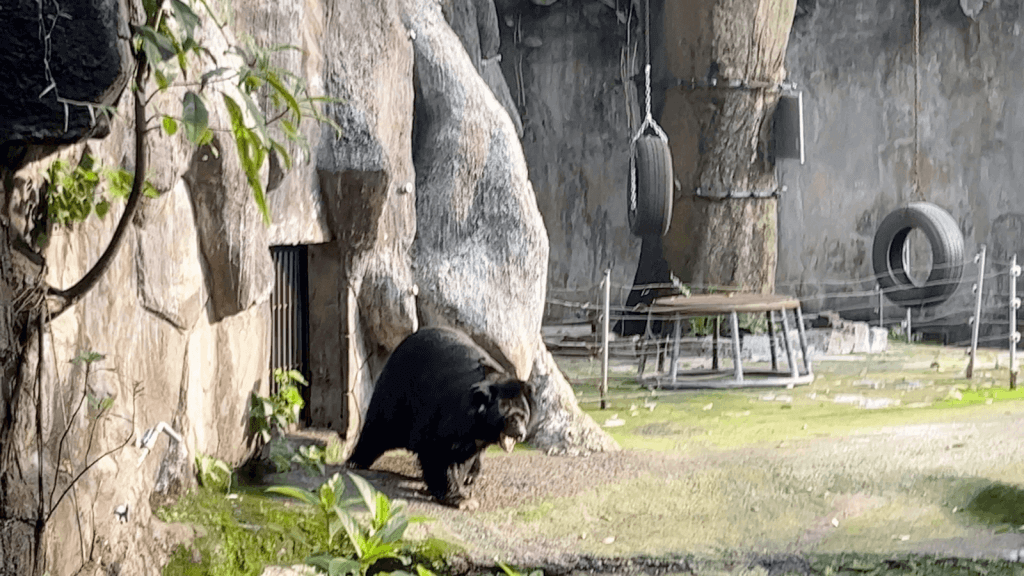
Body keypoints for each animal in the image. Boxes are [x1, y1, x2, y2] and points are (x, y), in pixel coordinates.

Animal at [346, 325, 532, 508]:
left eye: (524, 417)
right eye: (509, 417)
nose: (520, 434)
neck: (481, 425)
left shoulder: (473, 436)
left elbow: (462, 457)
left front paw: (462, 487)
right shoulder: (450, 416)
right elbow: (438, 449)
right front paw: (460, 498)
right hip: (398, 390)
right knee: (381, 425)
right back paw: (355, 461)